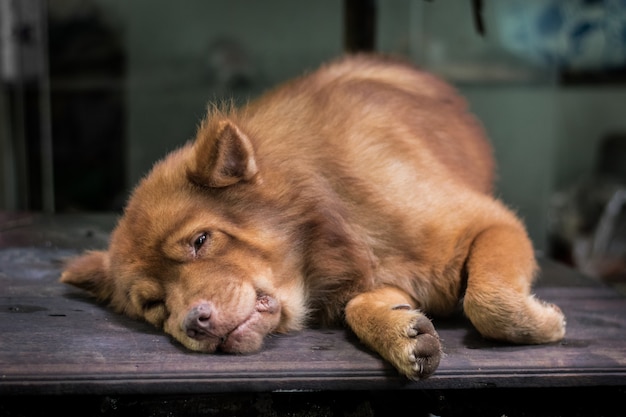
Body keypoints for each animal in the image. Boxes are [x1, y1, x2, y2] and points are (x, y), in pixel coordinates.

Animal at [61, 53, 564, 378]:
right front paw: (400, 331)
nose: (193, 324)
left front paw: (543, 321)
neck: (334, 204)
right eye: (153, 305)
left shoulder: (491, 222)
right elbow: (361, 304)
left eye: (201, 241)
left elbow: (487, 299)